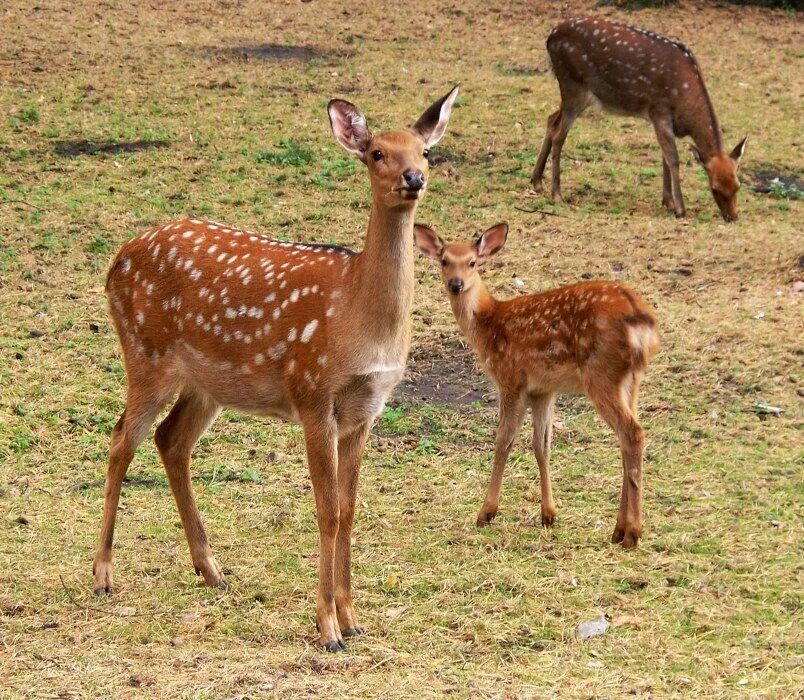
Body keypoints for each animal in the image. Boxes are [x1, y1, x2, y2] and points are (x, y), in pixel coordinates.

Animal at [94, 86, 458, 652]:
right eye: (377, 152)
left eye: (425, 152)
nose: (413, 179)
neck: (358, 315)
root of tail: (116, 262)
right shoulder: (312, 393)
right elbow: (327, 511)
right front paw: (328, 628)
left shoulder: (365, 409)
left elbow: (350, 509)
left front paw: (353, 618)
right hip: (145, 353)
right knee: (120, 441)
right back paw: (103, 575)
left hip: (207, 384)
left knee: (170, 439)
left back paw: (212, 570)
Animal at [414, 224, 660, 548]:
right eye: (444, 261)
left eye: (472, 262)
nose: (456, 284)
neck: (488, 324)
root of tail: (643, 322)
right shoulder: (544, 389)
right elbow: (541, 445)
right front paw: (548, 515)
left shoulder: (511, 379)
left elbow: (503, 441)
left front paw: (486, 512)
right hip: (631, 380)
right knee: (627, 437)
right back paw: (618, 529)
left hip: (601, 374)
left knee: (632, 433)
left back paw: (632, 533)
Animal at [532, 17, 748, 221]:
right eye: (714, 188)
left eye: (738, 185)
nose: (732, 217)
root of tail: (550, 38)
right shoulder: (658, 111)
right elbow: (673, 158)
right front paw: (680, 208)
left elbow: (664, 157)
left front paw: (668, 202)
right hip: (573, 85)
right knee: (559, 134)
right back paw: (557, 193)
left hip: (574, 94)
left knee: (551, 120)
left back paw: (537, 182)